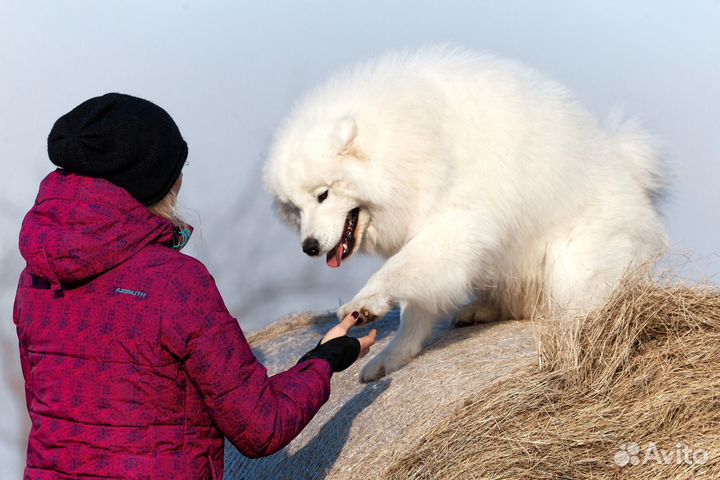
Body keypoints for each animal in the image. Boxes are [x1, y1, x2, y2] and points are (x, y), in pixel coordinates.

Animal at [262, 48, 664, 382]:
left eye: (323, 195)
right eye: (295, 209)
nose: (309, 247)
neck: (410, 145)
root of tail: (631, 173)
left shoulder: (453, 228)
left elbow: (396, 272)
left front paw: (364, 304)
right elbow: (414, 307)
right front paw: (391, 357)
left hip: (573, 261)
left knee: (579, 306)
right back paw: (481, 310)